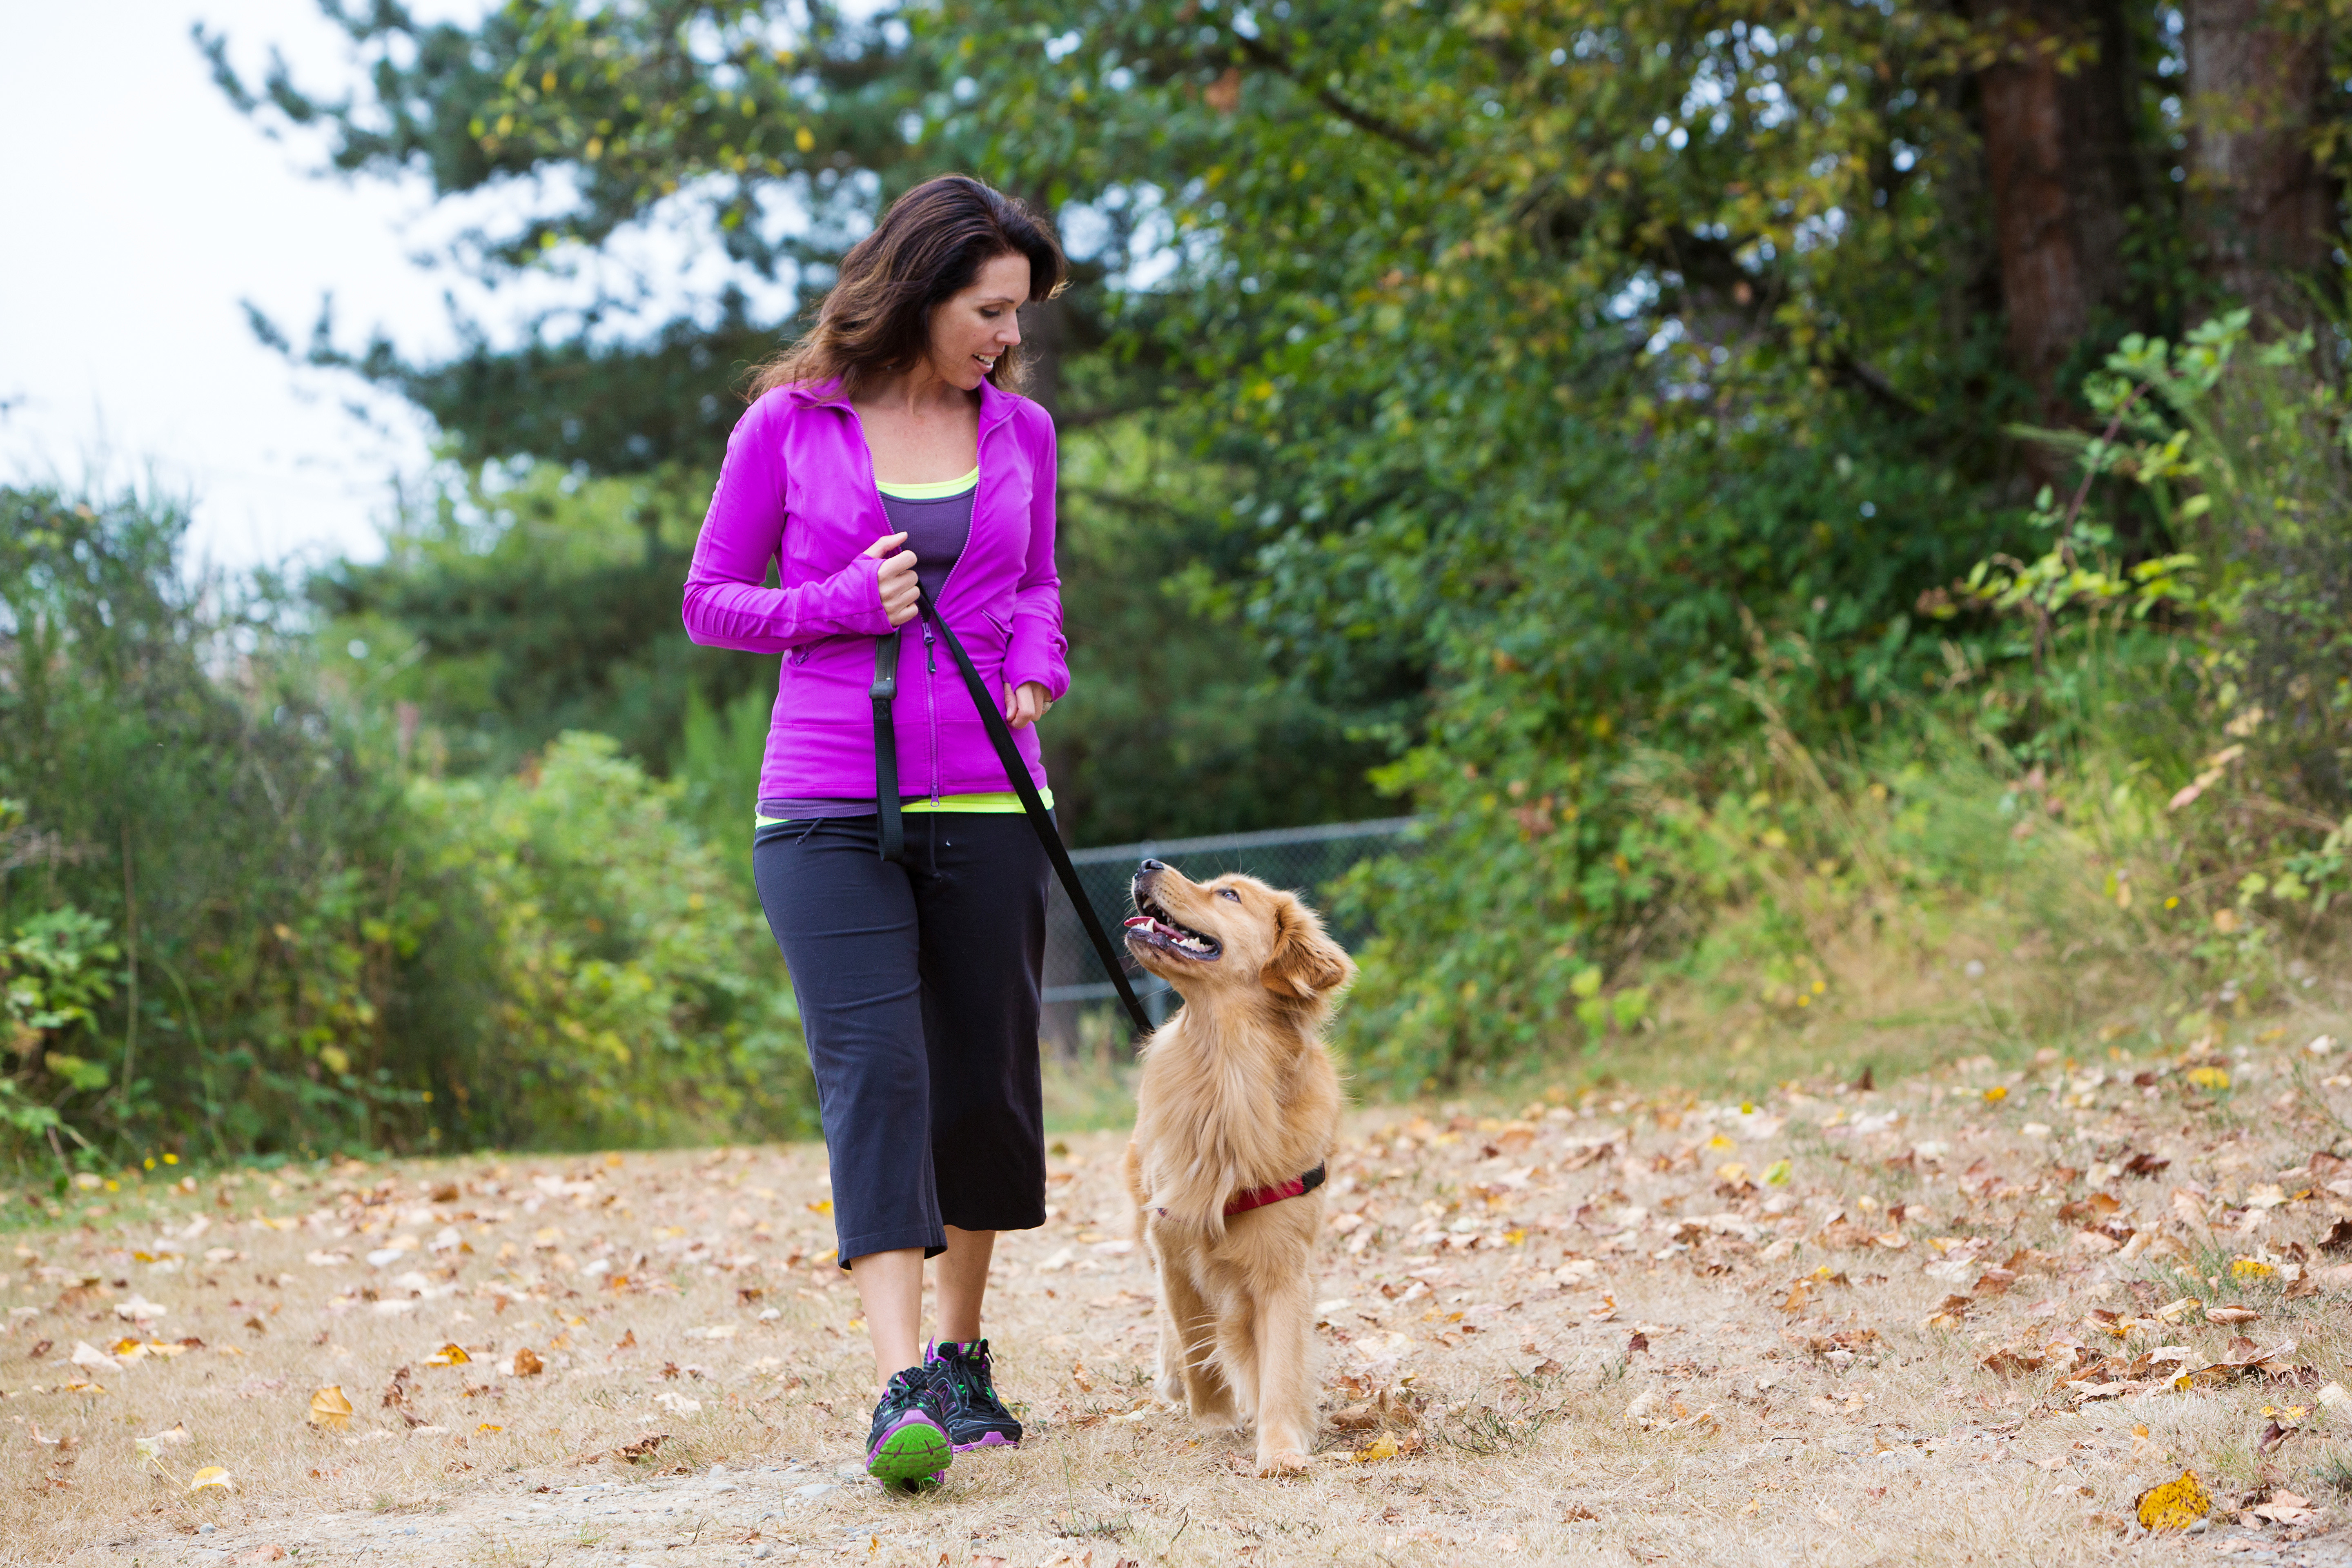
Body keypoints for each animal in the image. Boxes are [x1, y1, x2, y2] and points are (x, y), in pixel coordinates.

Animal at [1119, 851, 1364, 1476]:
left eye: (1229, 895)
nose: (1147, 861)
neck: (1225, 1072)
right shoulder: (1175, 1244)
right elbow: (1196, 1345)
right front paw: (1212, 1421)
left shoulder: (1283, 1262)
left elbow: (1280, 1363)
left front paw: (1280, 1448)